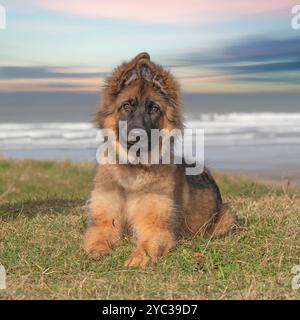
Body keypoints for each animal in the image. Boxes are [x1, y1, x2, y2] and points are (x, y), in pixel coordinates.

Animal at [84, 52, 234, 268]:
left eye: (154, 109)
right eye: (126, 106)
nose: (135, 137)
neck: (133, 171)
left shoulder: (156, 227)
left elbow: (149, 244)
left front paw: (138, 257)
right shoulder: (103, 222)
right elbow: (98, 237)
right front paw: (98, 251)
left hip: (227, 216)